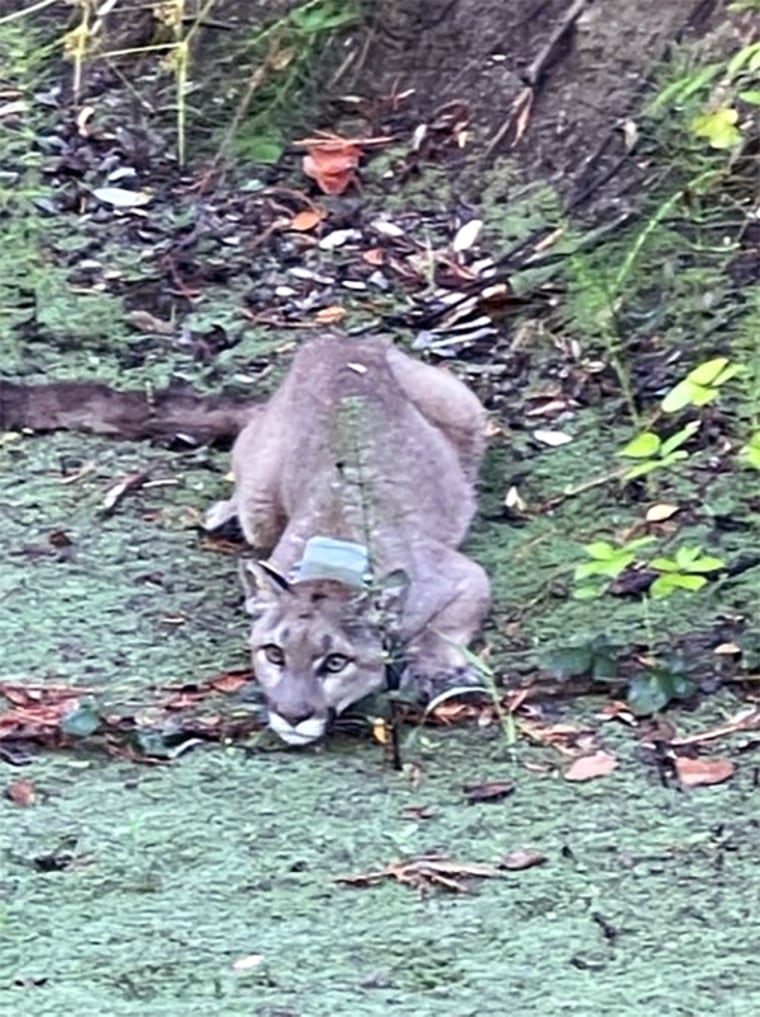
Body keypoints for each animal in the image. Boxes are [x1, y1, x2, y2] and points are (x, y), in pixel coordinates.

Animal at [205, 337, 490, 744]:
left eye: (336, 662)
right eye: (275, 654)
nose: (292, 716)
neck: (333, 560)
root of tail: (340, 339)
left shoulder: (463, 576)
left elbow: (440, 630)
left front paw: (430, 671)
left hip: (464, 407)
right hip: (258, 498)